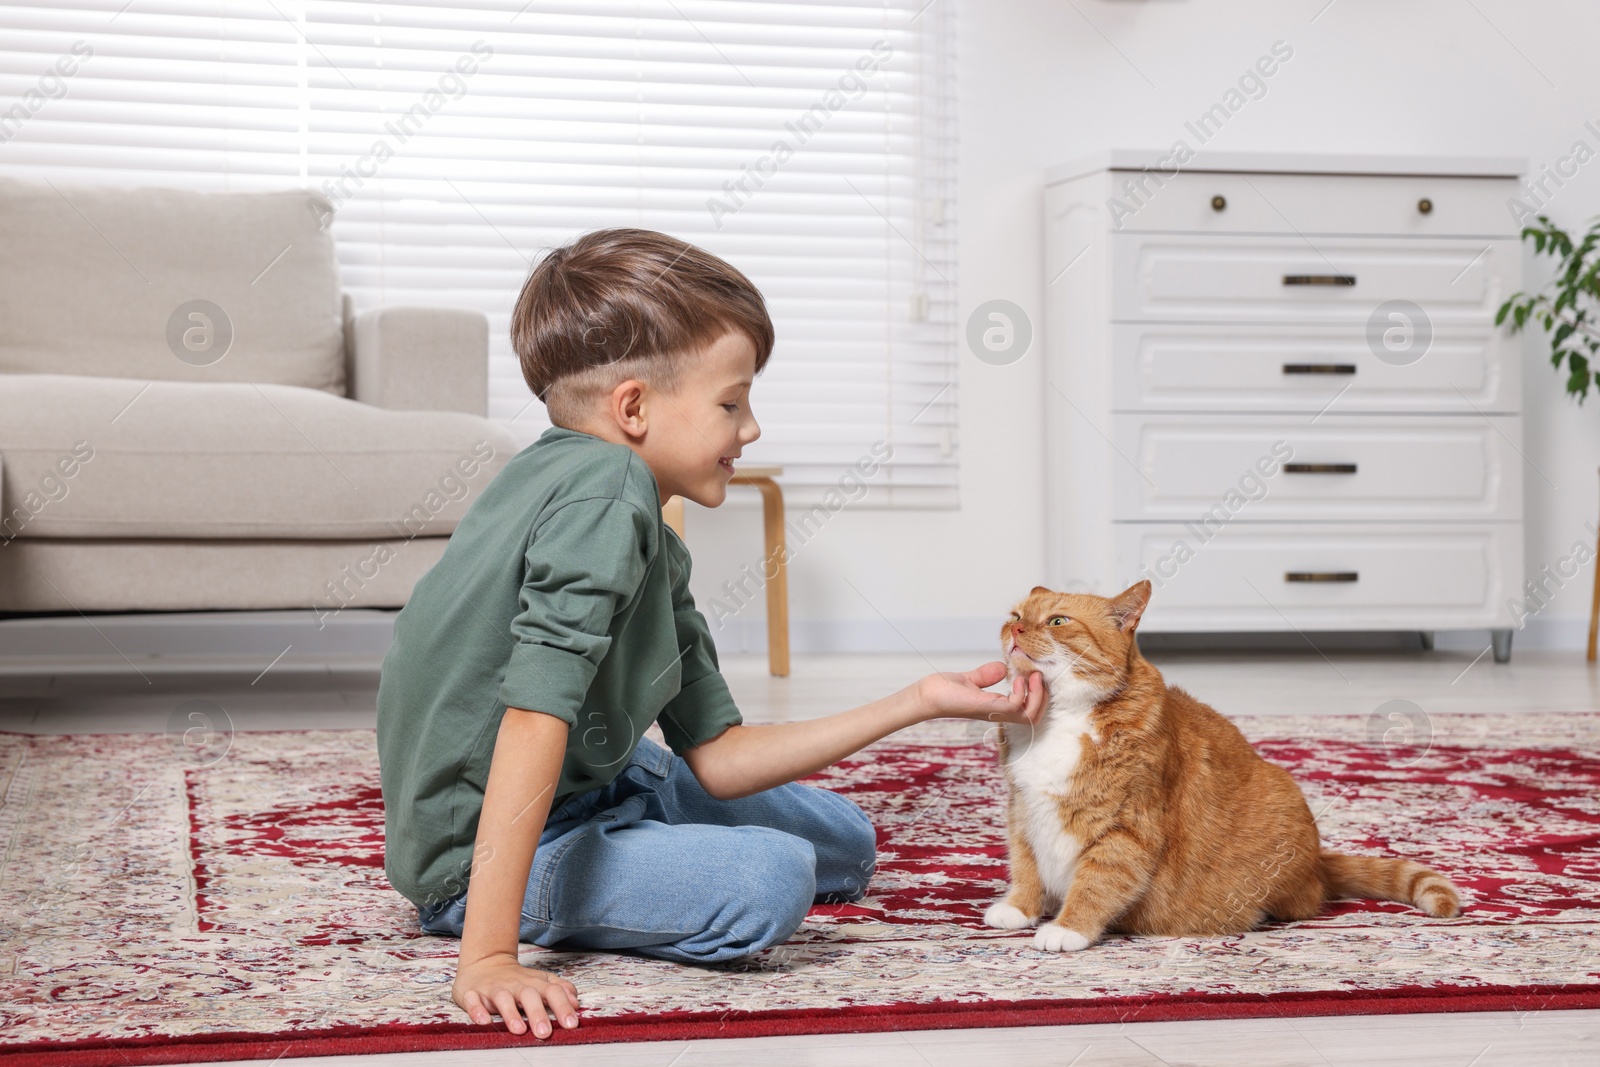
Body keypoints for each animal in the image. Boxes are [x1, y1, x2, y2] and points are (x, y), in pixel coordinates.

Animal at [979, 579, 1459, 953]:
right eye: (1015, 614)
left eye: (1057, 621)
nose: (1015, 628)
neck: (1059, 719)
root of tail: (1317, 860)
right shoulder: (1023, 812)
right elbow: (1026, 864)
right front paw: (1020, 908)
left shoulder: (1128, 827)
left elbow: (1098, 881)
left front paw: (1068, 928)